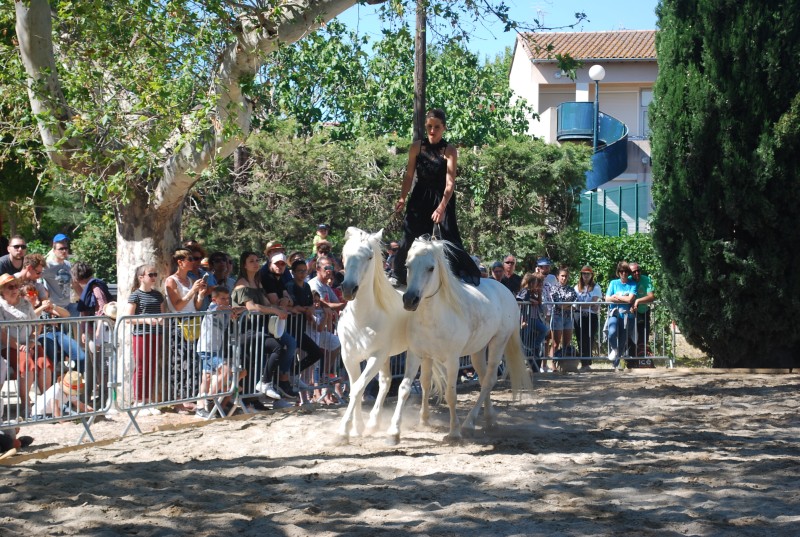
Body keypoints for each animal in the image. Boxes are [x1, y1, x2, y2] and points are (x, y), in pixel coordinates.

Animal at [338, 225, 438, 440]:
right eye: (344, 255)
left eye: (369, 257)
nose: (349, 289)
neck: (362, 319)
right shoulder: (349, 357)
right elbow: (355, 388)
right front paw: (357, 428)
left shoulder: (375, 356)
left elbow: (358, 388)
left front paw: (344, 431)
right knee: (385, 383)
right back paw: (373, 423)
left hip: (419, 355)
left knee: (423, 382)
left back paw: (423, 420)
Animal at [398, 237, 532, 442]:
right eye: (407, 265)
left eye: (431, 268)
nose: (410, 300)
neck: (432, 317)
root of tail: (505, 291)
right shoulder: (419, 355)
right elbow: (418, 385)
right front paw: (420, 422)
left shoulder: (452, 360)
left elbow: (450, 394)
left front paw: (454, 432)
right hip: (477, 351)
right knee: (484, 379)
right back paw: (489, 419)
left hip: (498, 343)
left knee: (489, 380)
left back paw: (469, 423)